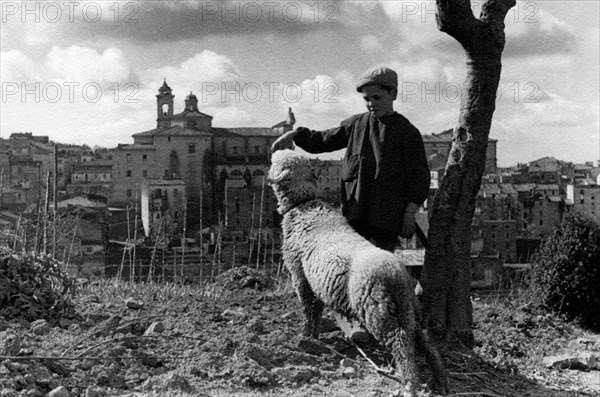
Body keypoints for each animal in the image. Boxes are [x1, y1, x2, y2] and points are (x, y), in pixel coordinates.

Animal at [270, 149, 448, 396]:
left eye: (275, 161)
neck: (304, 206)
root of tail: (396, 274)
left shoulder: (299, 275)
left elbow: (307, 309)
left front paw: (304, 336)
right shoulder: (316, 282)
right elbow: (316, 311)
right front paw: (314, 336)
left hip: (376, 309)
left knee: (401, 341)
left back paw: (409, 383)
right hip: (408, 308)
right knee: (424, 340)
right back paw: (440, 379)